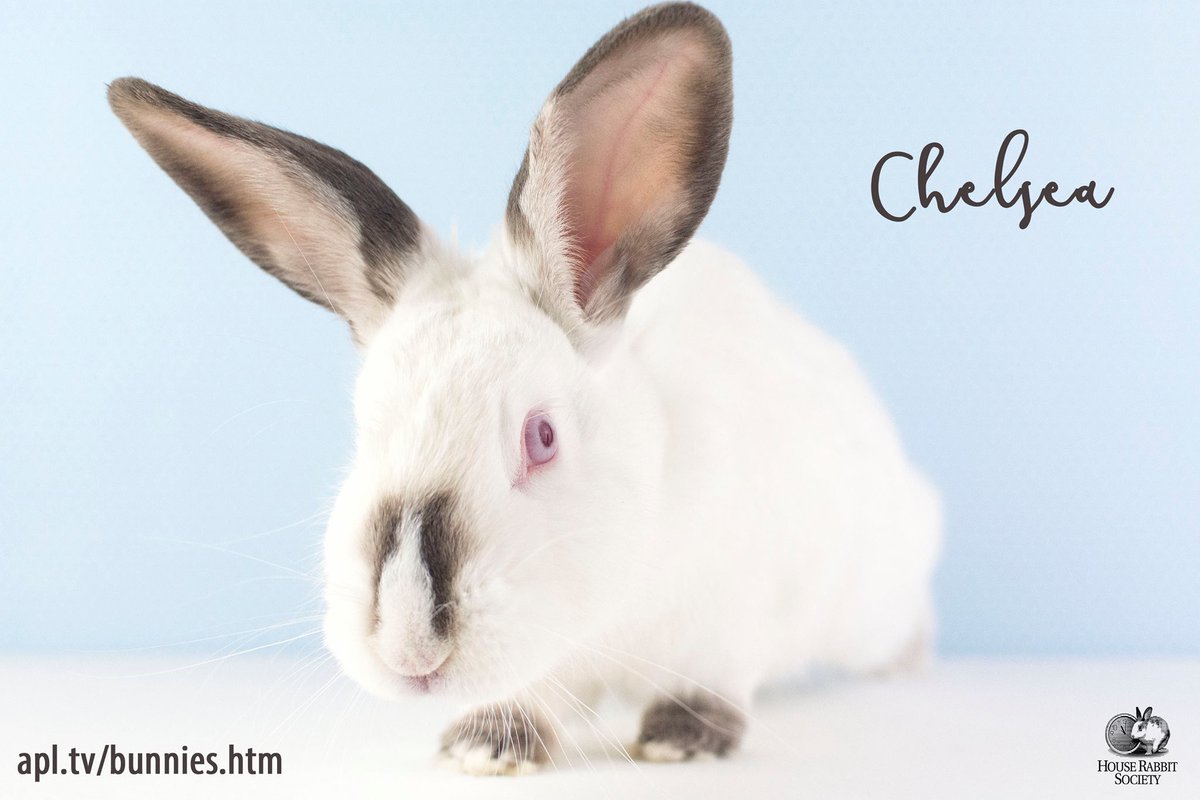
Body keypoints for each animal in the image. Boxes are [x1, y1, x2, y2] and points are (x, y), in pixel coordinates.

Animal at [107, 1, 940, 775]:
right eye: (364, 432)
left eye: (541, 437)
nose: (409, 648)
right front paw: (487, 745)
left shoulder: (732, 619)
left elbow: (708, 681)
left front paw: (681, 739)